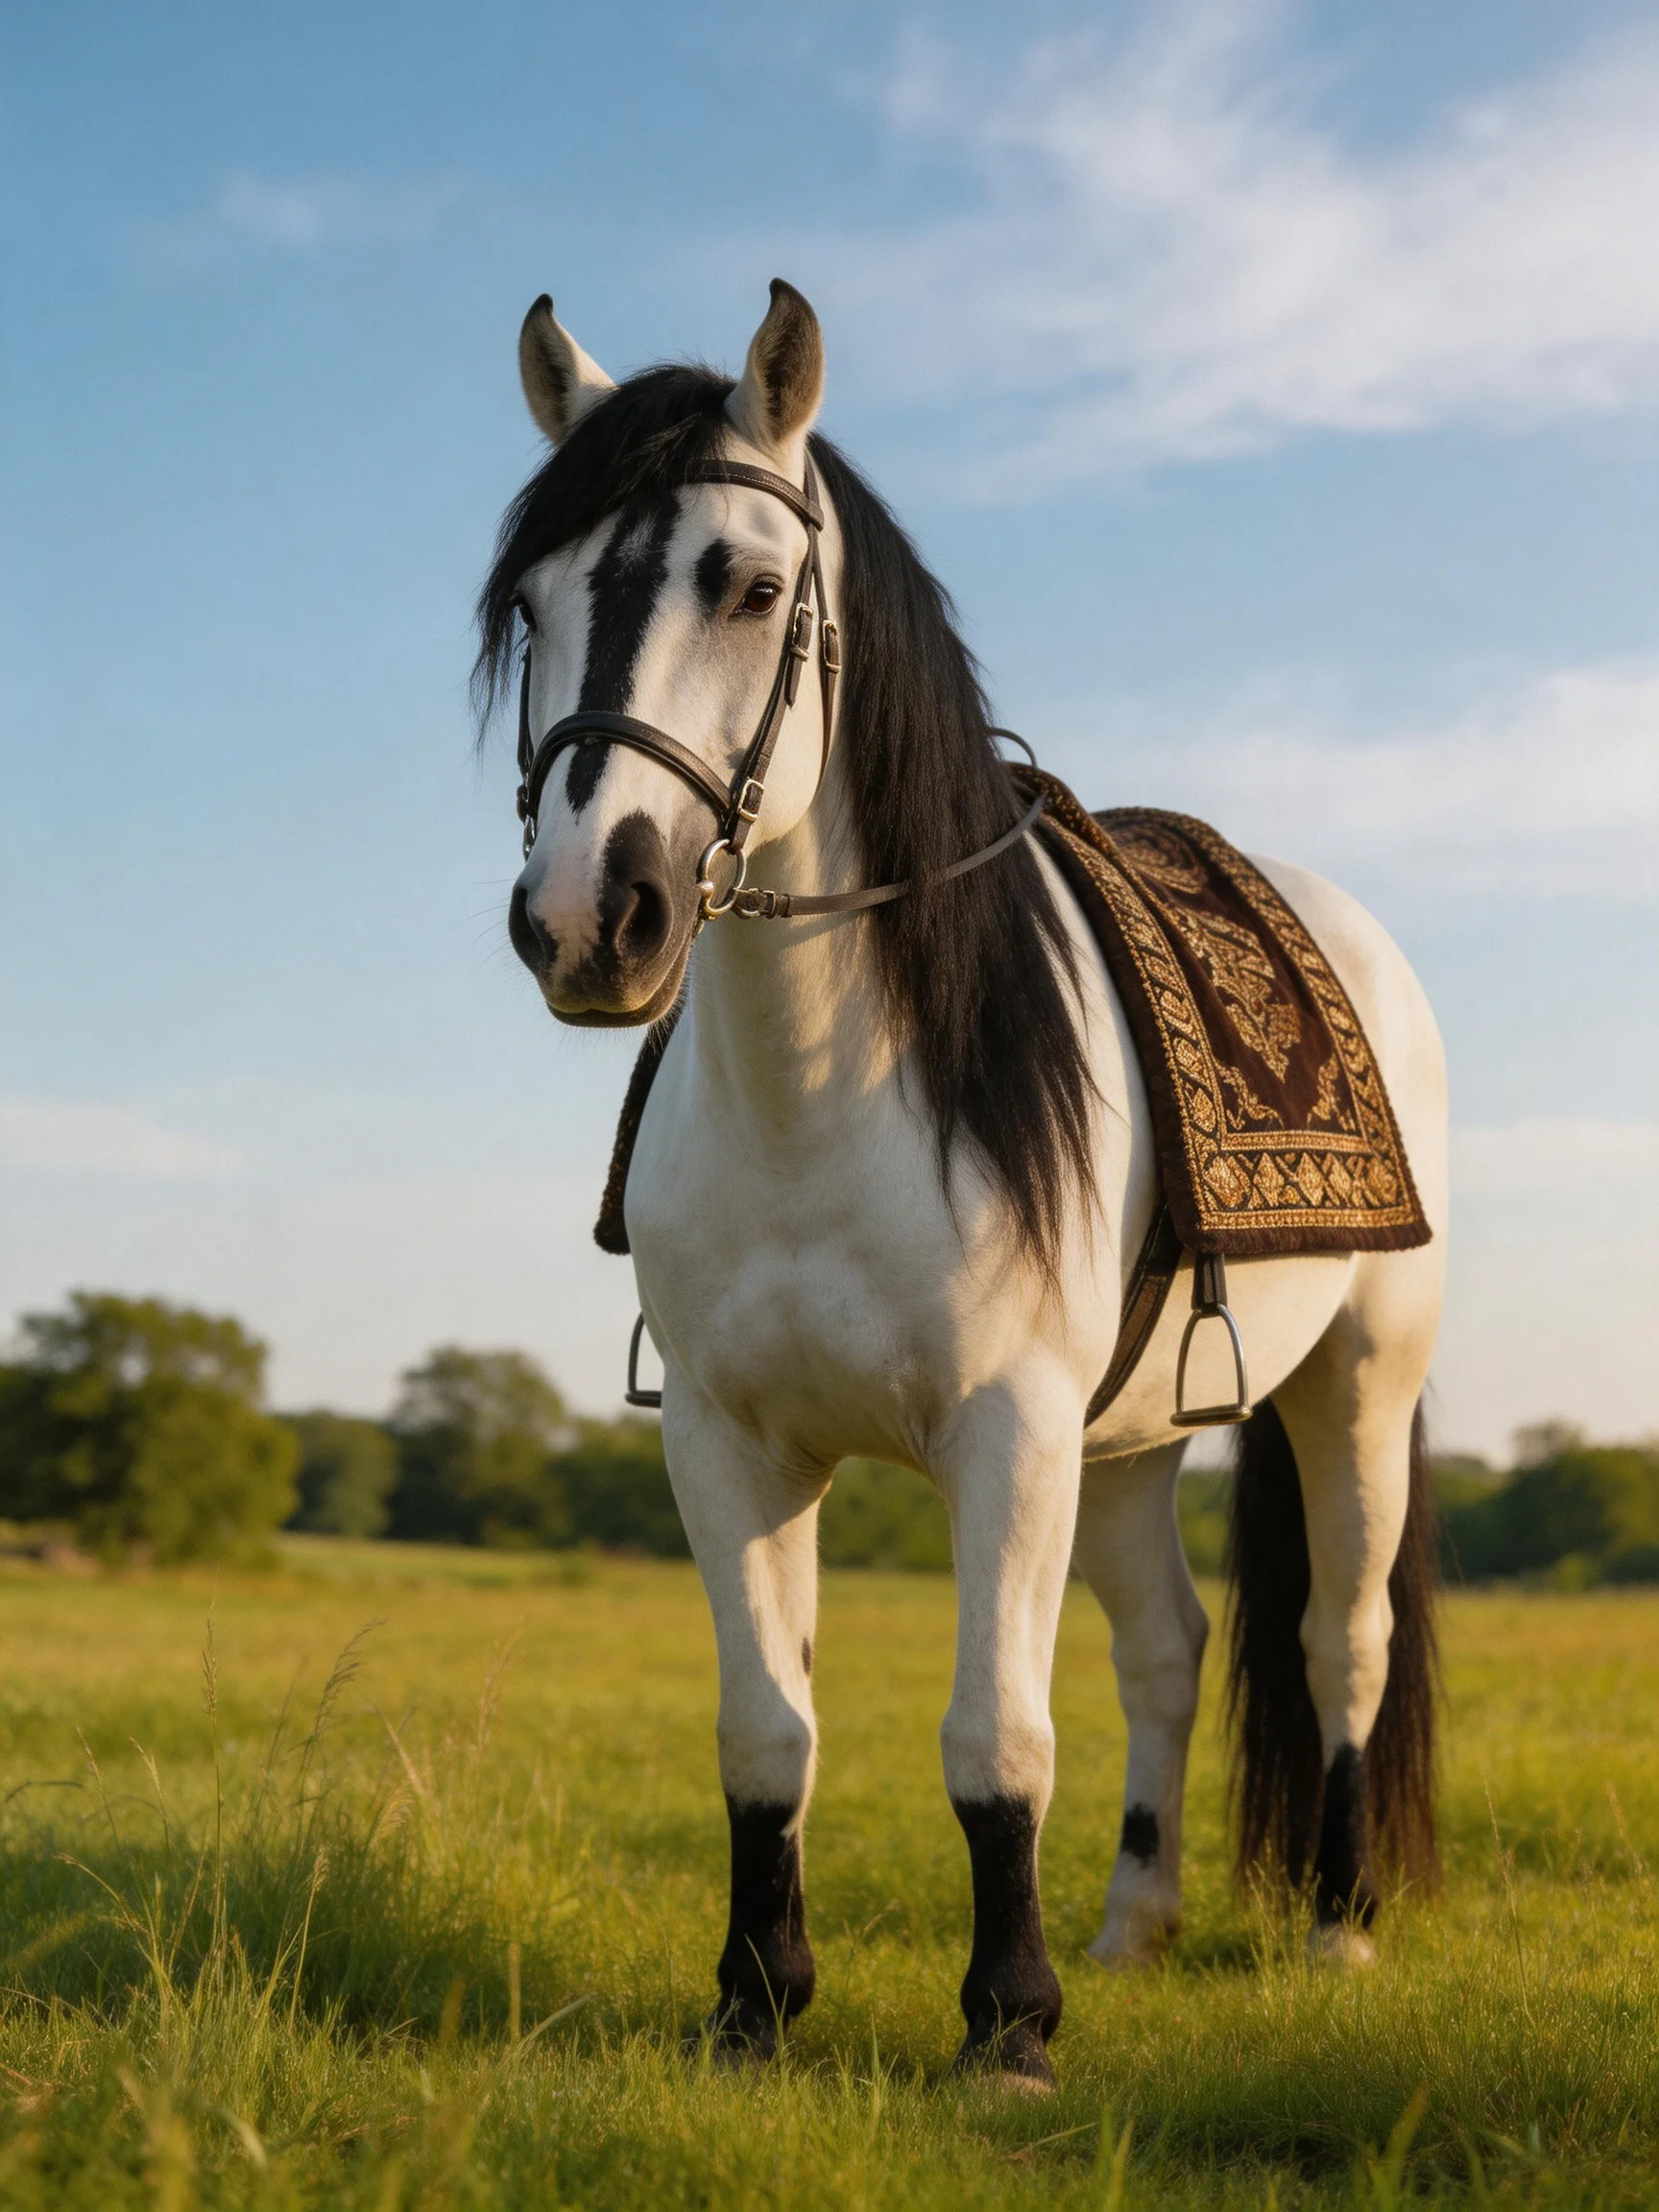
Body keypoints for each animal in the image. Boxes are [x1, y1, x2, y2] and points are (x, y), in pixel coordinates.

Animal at [476, 279, 1447, 2088]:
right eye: (531, 601)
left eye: (751, 584)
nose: (587, 919)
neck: (828, 1102)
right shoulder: (730, 1440)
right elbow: (765, 1731)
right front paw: (753, 1999)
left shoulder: (1005, 1430)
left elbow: (994, 1735)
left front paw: (1007, 2023)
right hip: (1129, 1439)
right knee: (1168, 1646)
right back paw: (1134, 1925)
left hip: (1355, 1383)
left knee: (1334, 1639)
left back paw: (1339, 1927)